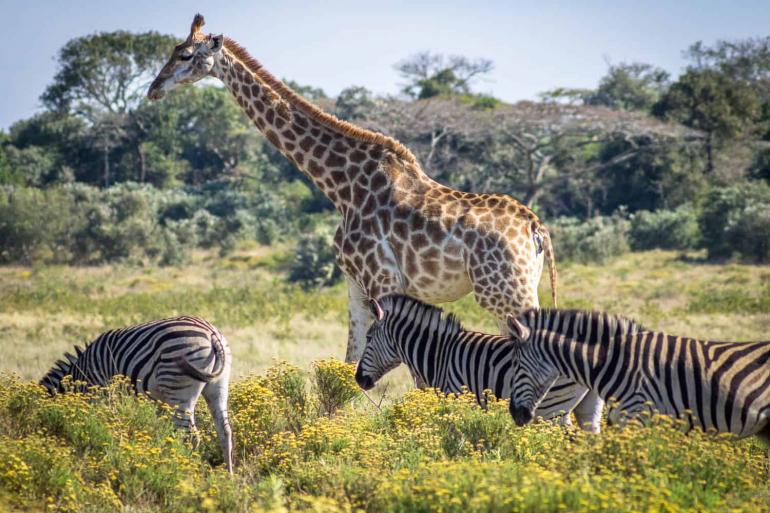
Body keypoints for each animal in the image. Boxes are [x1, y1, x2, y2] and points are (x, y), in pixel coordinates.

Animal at [40, 316, 231, 472]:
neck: (79, 375)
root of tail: (211, 333)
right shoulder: (158, 401)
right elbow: (159, 428)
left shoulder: (102, 392)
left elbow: (108, 423)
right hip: (218, 386)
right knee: (225, 431)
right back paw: (229, 477)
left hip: (178, 386)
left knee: (190, 436)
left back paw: (185, 470)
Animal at [148, 15, 560, 360]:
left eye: (185, 54)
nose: (153, 88)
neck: (341, 188)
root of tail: (536, 228)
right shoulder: (354, 282)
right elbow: (350, 360)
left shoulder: (381, 280)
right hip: (513, 290)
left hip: (505, 291)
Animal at [354, 294, 608, 430]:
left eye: (369, 338)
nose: (358, 379)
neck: (440, 353)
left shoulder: (456, 397)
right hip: (583, 405)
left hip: (553, 408)